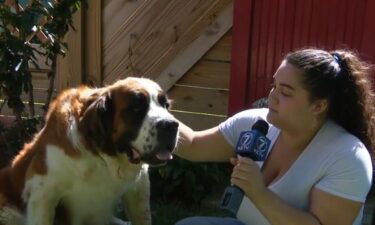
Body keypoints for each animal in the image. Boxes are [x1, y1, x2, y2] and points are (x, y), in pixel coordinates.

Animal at [0, 77, 180, 225]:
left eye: (166, 106)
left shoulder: (139, 187)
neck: (101, 156)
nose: (171, 125)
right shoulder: (43, 192)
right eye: (136, 108)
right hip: (8, 212)